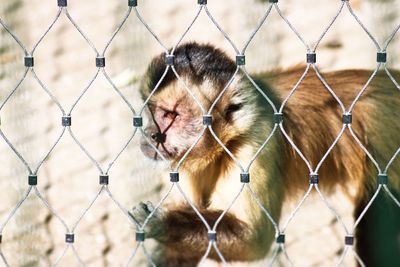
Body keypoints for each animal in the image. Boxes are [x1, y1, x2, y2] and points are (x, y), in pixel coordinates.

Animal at [130, 42, 398, 267]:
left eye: (170, 115)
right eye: (151, 112)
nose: (150, 133)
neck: (224, 145)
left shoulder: (257, 139)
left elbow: (254, 240)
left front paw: (160, 222)